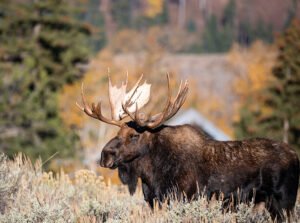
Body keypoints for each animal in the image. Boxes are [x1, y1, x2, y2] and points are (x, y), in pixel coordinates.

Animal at [76, 74, 298, 221]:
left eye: (134, 135)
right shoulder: (154, 201)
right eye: (117, 133)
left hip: (284, 200)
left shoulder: (184, 197)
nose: (105, 155)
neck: (151, 174)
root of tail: (296, 156)